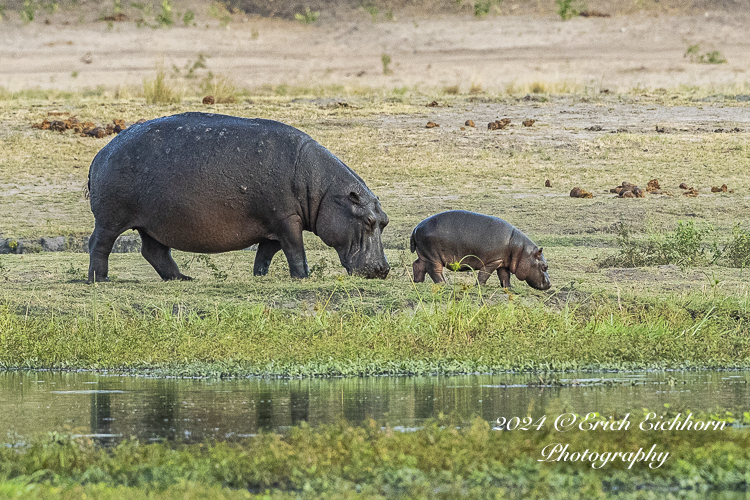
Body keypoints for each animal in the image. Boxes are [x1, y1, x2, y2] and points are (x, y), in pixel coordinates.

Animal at [88, 114, 390, 286]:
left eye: (385, 221)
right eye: (368, 221)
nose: (384, 269)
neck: (324, 190)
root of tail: (101, 153)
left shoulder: (273, 225)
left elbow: (266, 254)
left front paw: (260, 277)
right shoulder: (287, 219)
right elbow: (295, 250)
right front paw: (304, 277)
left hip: (151, 223)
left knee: (154, 251)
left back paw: (182, 278)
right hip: (111, 219)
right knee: (99, 244)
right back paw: (99, 280)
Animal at [412, 210, 552, 290]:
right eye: (545, 267)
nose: (550, 284)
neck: (521, 250)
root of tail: (416, 227)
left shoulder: (502, 262)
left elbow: (505, 276)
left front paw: (508, 287)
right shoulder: (493, 261)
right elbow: (484, 274)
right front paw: (479, 286)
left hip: (424, 255)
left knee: (417, 264)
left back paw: (418, 282)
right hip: (433, 256)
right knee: (435, 270)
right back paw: (444, 284)